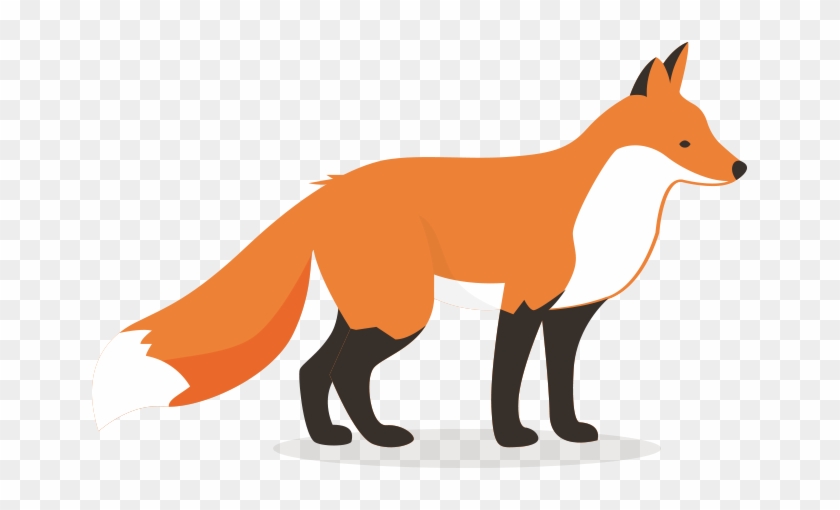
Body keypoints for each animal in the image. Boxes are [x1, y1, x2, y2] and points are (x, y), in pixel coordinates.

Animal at [93, 43, 746, 448]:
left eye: (709, 130)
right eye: (686, 142)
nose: (740, 167)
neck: (608, 210)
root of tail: (329, 189)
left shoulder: (570, 316)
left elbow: (561, 385)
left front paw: (570, 432)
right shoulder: (524, 303)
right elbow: (505, 381)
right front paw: (511, 439)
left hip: (370, 311)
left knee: (312, 369)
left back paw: (331, 438)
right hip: (402, 314)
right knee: (344, 372)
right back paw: (379, 439)